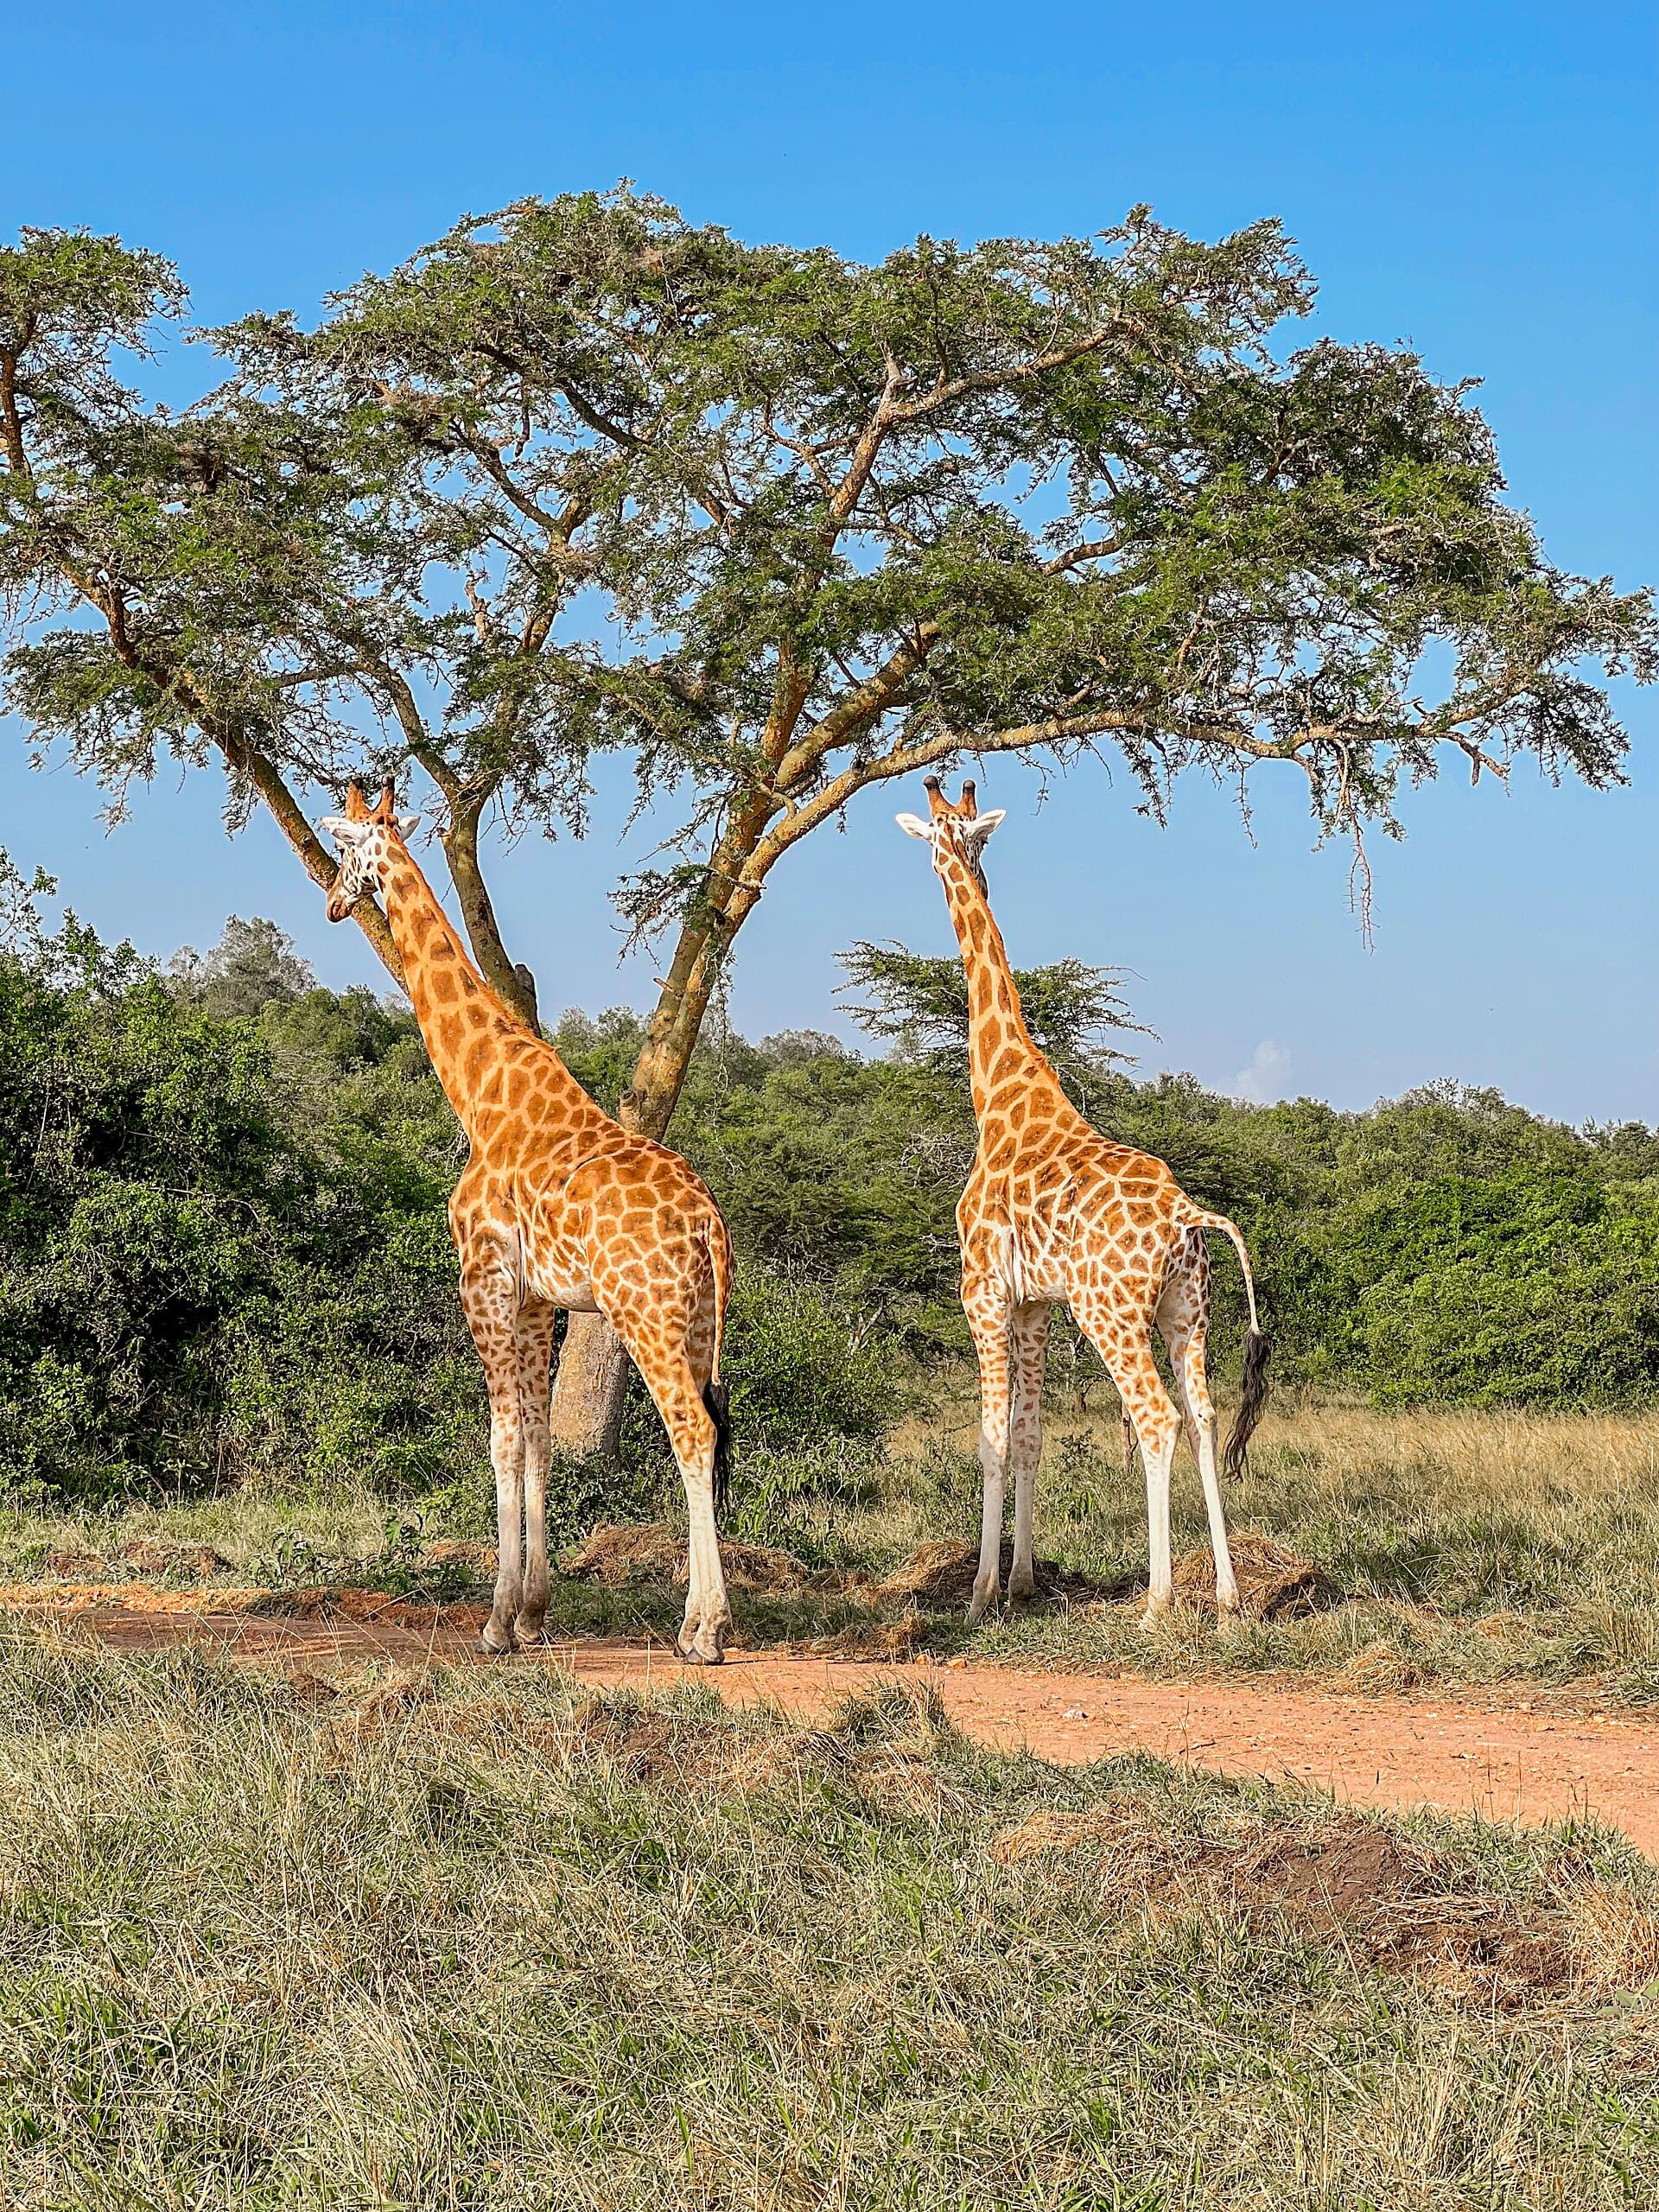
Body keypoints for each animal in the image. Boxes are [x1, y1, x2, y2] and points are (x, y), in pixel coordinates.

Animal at [319, 783, 737, 1662]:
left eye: (343, 849)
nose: (335, 901)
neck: (483, 1098)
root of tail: (708, 1224)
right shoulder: (542, 1299)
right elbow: (542, 1440)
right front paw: (537, 1612)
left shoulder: (485, 1281)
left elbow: (502, 1439)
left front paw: (496, 1622)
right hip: (698, 1320)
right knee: (709, 1434)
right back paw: (699, 1620)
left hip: (646, 1316)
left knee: (691, 1432)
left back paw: (705, 1630)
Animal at [895, 777, 1270, 1627]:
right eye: (967, 837)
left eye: (936, 841)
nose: (953, 865)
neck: (1001, 1097)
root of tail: (1187, 1216)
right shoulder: (1036, 1302)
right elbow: (1030, 1436)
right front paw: (1023, 1581)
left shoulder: (983, 1291)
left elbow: (991, 1439)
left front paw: (978, 1595)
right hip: (1186, 1311)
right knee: (1203, 1417)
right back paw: (1228, 1594)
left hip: (1111, 1312)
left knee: (1158, 1419)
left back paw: (1158, 1602)